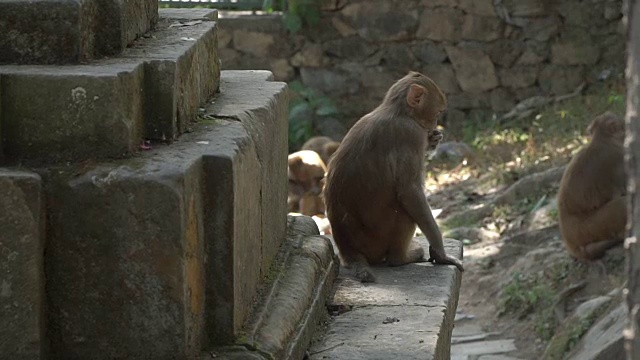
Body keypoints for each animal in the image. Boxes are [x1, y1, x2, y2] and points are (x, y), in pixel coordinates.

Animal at [322, 71, 462, 282]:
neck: (398, 111)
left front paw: (433, 139)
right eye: (437, 113)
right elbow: (409, 192)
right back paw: (402, 258)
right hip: (378, 240)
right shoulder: (411, 134)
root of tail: (349, 252)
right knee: (406, 208)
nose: (435, 125)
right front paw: (441, 254)